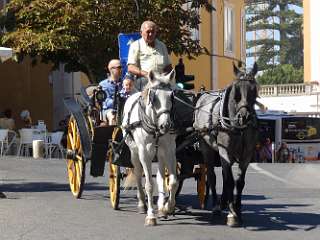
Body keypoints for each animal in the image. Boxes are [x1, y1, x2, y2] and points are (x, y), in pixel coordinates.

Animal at [122, 70, 179, 227]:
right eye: (154, 98)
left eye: (171, 96)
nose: (166, 125)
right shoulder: (145, 153)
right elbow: (149, 185)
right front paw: (151, 216)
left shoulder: (169, 150)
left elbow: (172, 182)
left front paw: (167, 207)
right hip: (134, 153)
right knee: (137, 173)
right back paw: (142, 204)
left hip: (160, 153)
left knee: (160, 177)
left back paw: (161, 206)